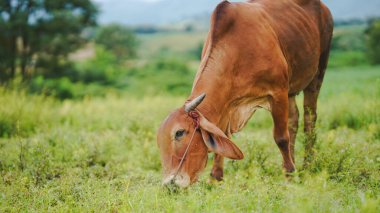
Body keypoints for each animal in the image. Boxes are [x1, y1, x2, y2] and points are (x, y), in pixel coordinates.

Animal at [157, 0, 332, 188]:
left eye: (179, 133)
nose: (170, 184)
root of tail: (323, 8)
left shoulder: (277, 92)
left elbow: (281, 137)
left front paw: (289, 175)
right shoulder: (228, 104)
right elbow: (223, 138)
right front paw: (216, 178)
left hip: (317, 74)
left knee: (309, 119)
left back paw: (307, 165)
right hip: (291, 90)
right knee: (294, 120)